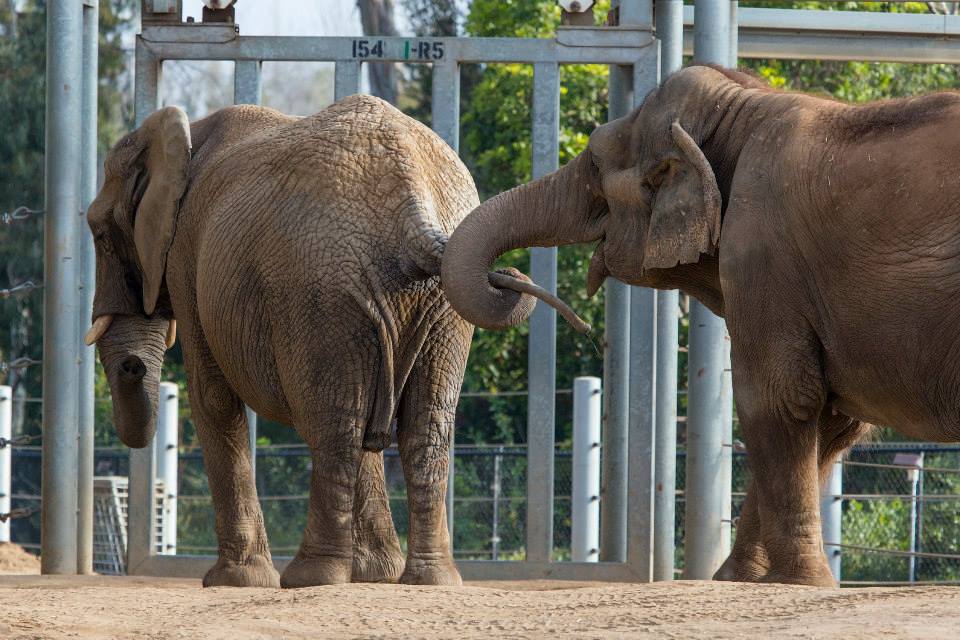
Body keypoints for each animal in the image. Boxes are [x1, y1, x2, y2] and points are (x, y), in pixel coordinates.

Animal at [85, 95, 490, 587]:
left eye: (98, 232)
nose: (133, 365)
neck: (182, 135)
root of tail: (414, 204)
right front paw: (375, 575)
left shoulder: (184, 253)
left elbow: (212, 395)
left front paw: (233, 581)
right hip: (440, 304)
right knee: (417, 426)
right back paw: (428, 579)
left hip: (320, 288)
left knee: (335, 425)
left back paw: (310, 576)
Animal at [439, 64, 960, 587]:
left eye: (594, 164)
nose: (509, 276)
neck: (741, 109)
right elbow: (829, 422)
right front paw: (737, 581)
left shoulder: (760, 255)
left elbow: (778, 398)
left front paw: (795, 582)